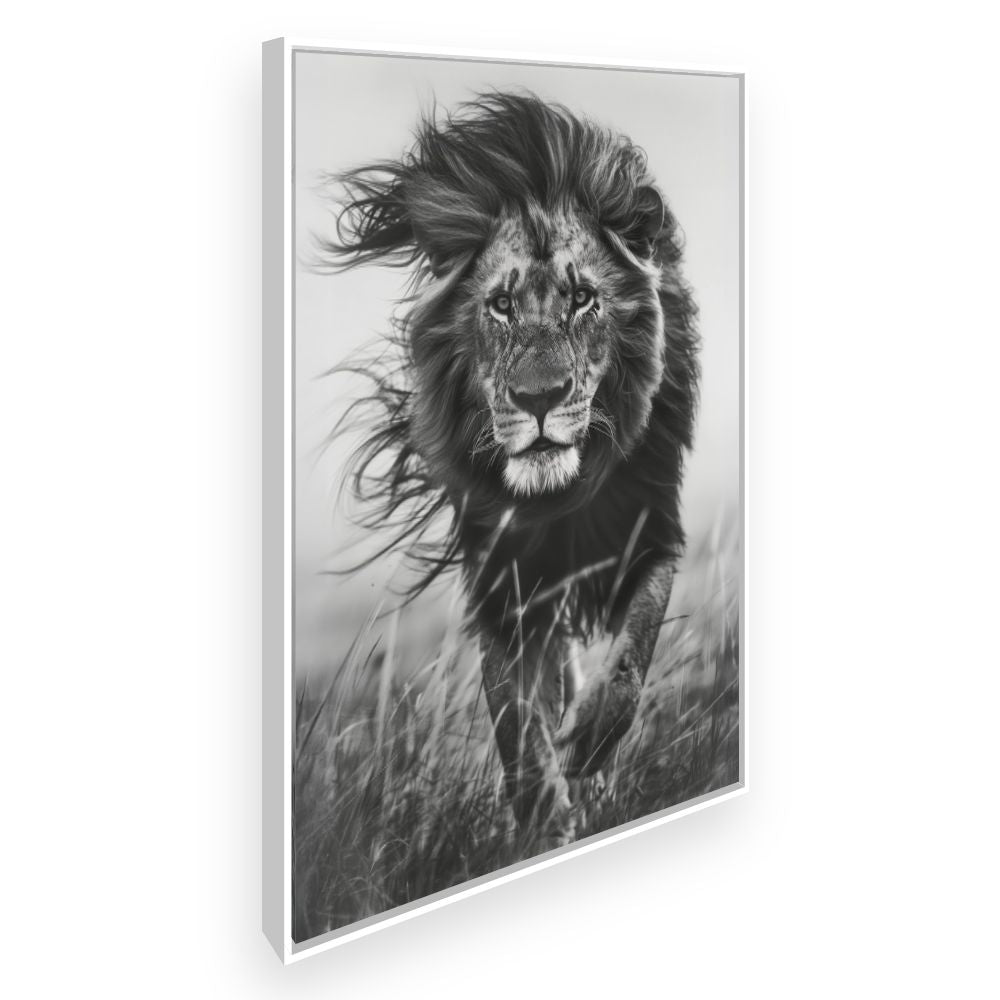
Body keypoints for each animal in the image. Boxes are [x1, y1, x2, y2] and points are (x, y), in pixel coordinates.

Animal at [319, 92, 699, 848]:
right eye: (499, 305)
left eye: (584, 300)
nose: (539, 398)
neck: (559, 498)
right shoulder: (501, 580)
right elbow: (517, 721)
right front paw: (543, 819)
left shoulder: (649, 535)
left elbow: (630, 661)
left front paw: (588, 747)